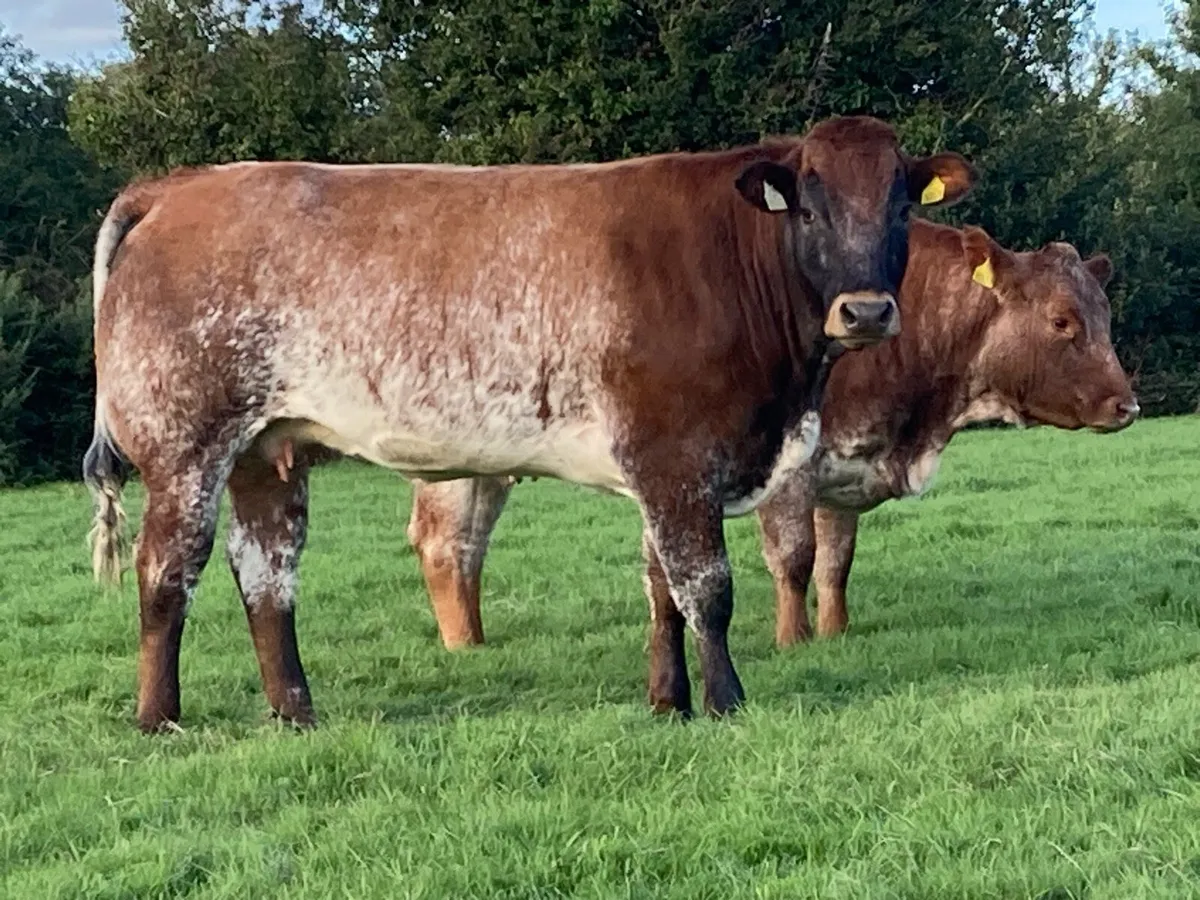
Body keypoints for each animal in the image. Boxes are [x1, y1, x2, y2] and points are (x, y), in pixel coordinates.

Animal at [83, 115, 976, 732]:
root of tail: (178, 186)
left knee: (267, 572)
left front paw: (669, 700)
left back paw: (296, 710)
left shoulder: (661, 467)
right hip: (187, 444)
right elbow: (706, 589)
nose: (866, 311)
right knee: (167, 568)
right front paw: (727, 699)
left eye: (900, 206)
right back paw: (159, 716)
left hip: (267, 449)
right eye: (810, 210)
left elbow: (661, 589)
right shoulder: (677, 456)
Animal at [404, 217, 1138, 664]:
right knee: (447, 545)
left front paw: (837, 631)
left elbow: (837, 561)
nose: (1127, 404)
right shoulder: (793, 471)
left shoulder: (847, 468)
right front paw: (794, 638)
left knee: (469, 549)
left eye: (1103, 314)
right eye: (1062, 320)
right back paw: (464, 647)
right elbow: (795, 557)